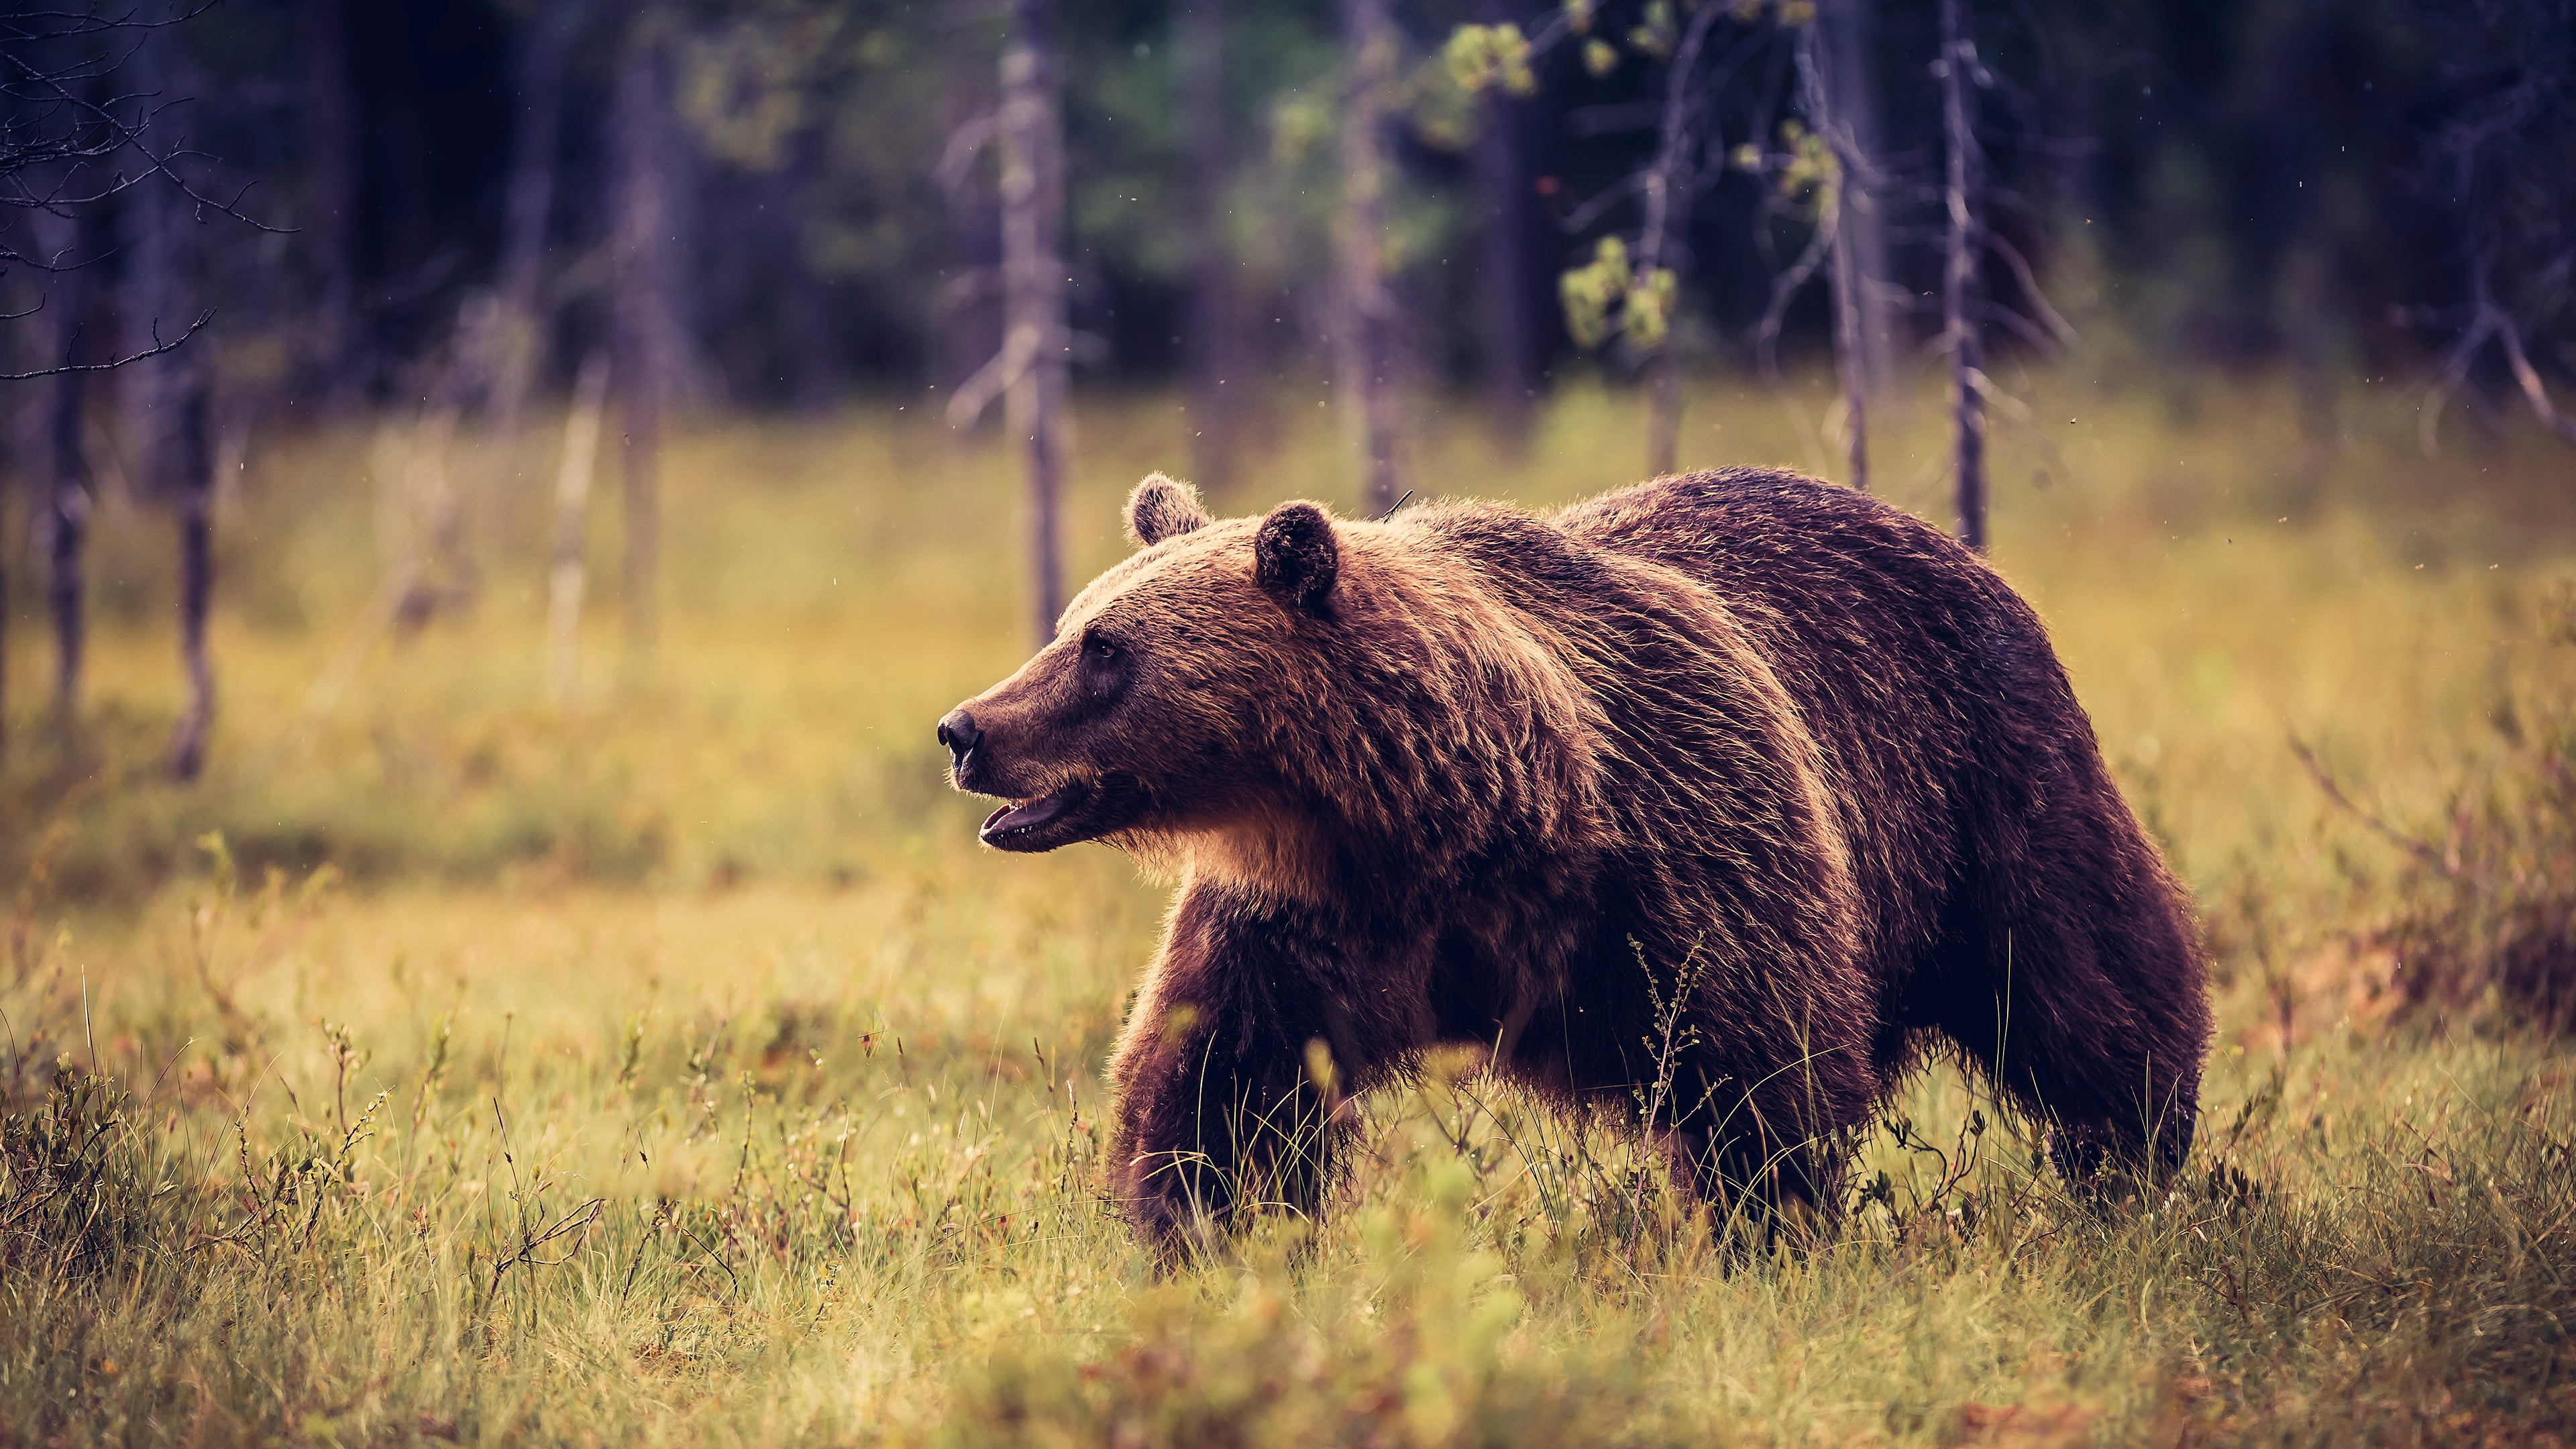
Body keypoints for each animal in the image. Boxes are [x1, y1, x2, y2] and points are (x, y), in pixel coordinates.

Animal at [937, 468, 2210, 1251]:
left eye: (1105, 649)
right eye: (1073, 624)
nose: (965, 729)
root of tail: (1956, 546)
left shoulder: (1684, 842)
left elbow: (1760, 1071)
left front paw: (1765, 1236)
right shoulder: (1306, 917)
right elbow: (1218, 1084)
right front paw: (1202, 1231)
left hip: (1990, 785)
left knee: (2088, 986)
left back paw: (2134, 1162)